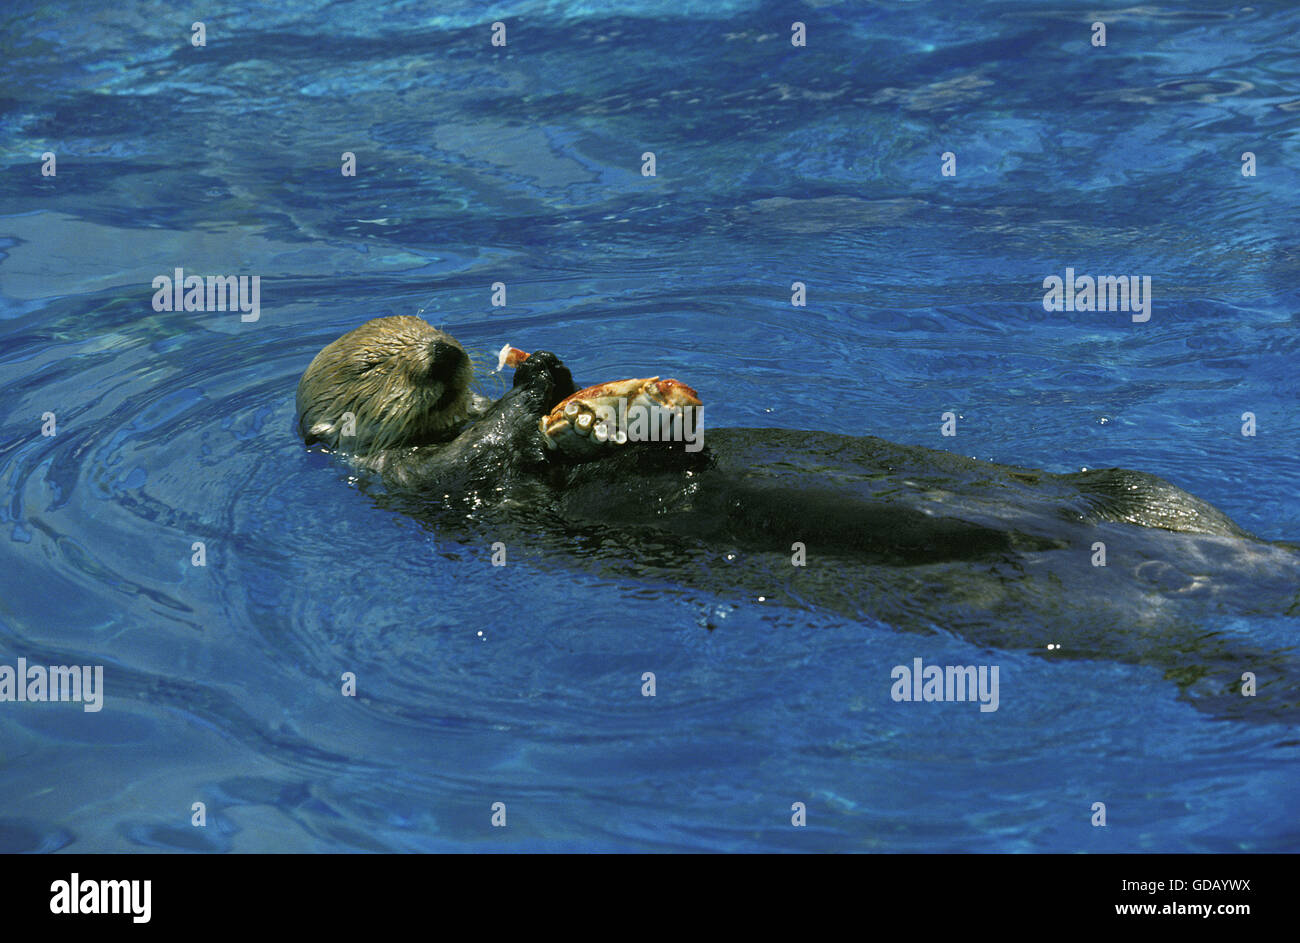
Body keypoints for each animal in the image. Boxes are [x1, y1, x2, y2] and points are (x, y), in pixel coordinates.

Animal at [297, 316, 1300, 721]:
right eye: (372, 367)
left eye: (430, 329)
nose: (447, 352)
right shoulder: (423, 478)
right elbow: (489, 453)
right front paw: (545, 389)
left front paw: (593, 392)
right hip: (1040, 607)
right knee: (1170, 643)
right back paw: (1248, 683)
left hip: (1138, 494)